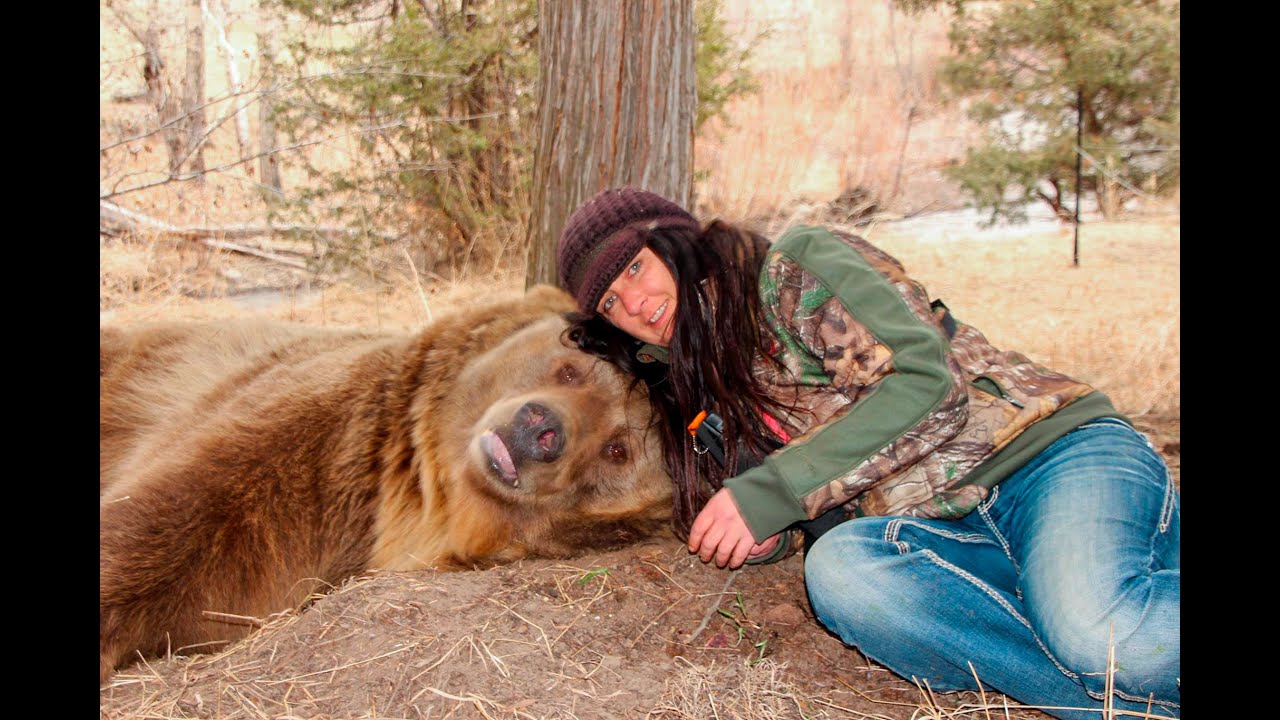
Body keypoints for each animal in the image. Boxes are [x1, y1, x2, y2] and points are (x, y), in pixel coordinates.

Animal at [100, 285, 673, 683]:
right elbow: (152, 527)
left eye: (617, 450)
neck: (414, 496)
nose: (540, 430)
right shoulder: (313, 439)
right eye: (570, 369)